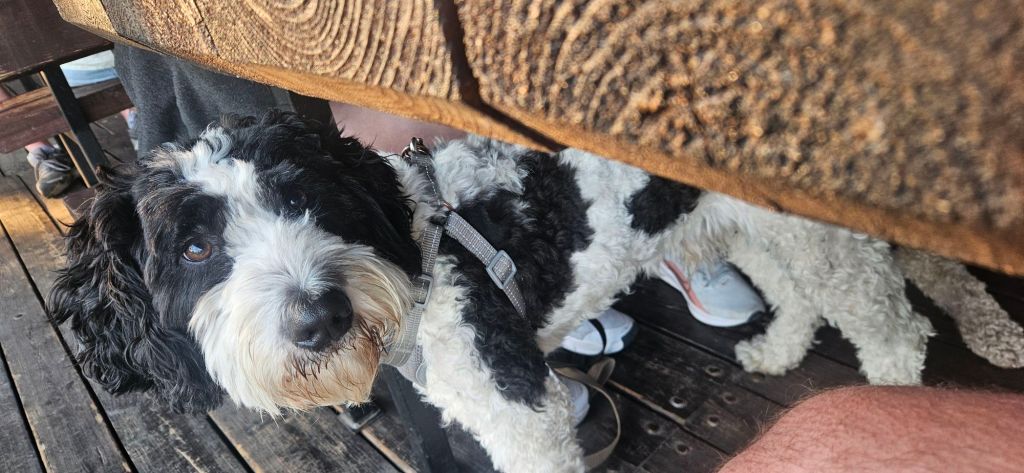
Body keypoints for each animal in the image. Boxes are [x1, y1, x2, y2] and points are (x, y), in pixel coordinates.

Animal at [50, 111, 933, 472]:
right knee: (800, 293)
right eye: (195, 247)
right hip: (752, 226)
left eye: (305, 196)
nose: (321, 315)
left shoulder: (521, 409)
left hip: (819, 234)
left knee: (888, 318)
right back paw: (778, 349)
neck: (418, 258)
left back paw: (896, 388)